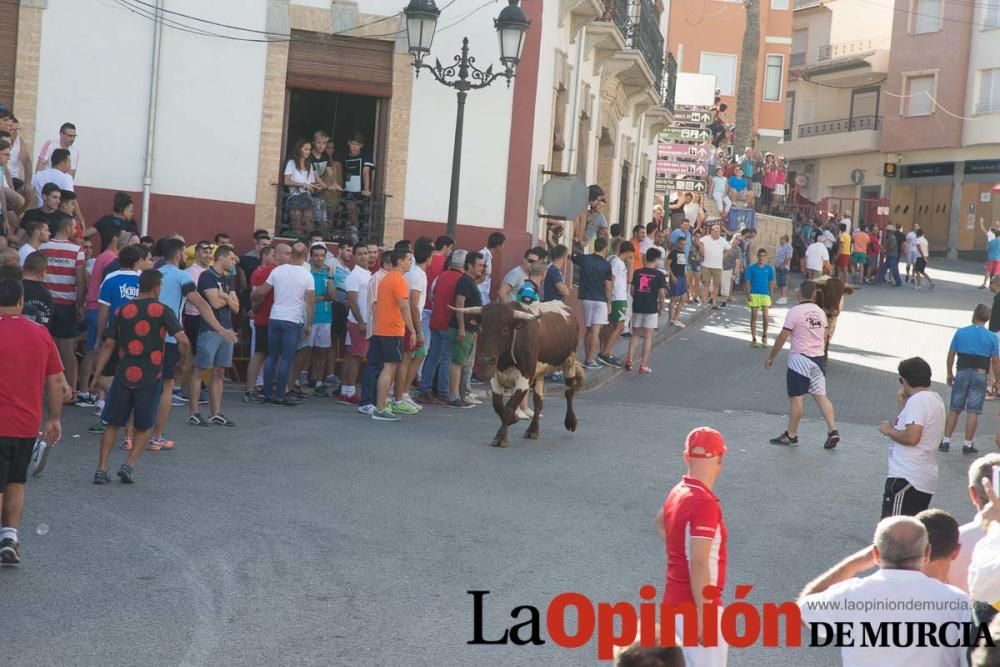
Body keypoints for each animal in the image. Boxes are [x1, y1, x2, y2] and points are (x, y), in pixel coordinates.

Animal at [452, 302, 584, 448]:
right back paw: (533, 431)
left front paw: (501, 437)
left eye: (505, 329)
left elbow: (509, 407)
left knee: (569, 393)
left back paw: (571, 422)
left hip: (569, 363)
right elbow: (498, 406)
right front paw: (513, 419)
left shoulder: (525, 378)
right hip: (539, 373)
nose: (486, 360)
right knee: (538, 401)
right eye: (481, 328)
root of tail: (565, 307)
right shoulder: (495, 377)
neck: (505, 361)